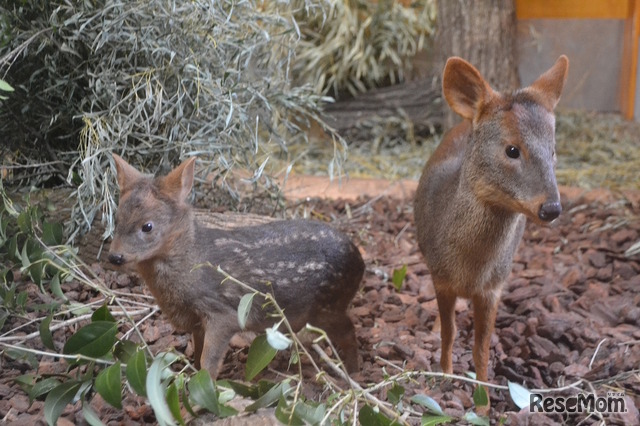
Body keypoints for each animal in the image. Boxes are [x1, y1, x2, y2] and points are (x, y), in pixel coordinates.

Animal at [110, 155, 364, 378]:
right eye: (117, 218)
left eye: (148, 226)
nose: (115, 257)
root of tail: (360, 261)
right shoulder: (196, 321)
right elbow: (197, 351)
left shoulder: (222, 312)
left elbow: (209, 359)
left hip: (329, 304)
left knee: (349, 331)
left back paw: (350, 373)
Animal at [416, 55, 568, 412]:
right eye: (512, 149)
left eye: (553, 151)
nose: (551, 208)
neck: (469, 267)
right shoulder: (440, 277)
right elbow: (449, 334)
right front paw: (445, 378)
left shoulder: (493, 287)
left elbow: (481, 348)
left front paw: (483, 404)